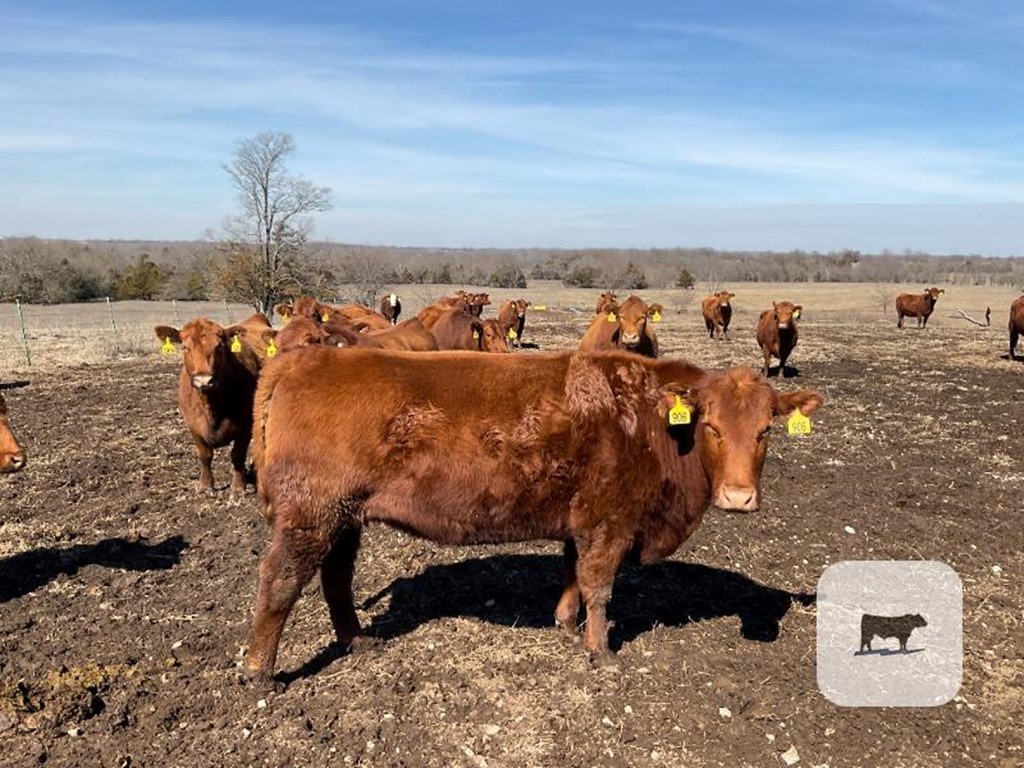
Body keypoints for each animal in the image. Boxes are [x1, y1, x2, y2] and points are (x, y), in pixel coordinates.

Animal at [152, 315, 272, 495]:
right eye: (185, 347)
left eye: (220, 346)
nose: (204, 380)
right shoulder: (193, 426)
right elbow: (205, 455)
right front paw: (205, 485)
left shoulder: (245, 426)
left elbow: (237, 455)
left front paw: (238, 487)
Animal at [241, 348, 823, 679]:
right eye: (711, 427)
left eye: (766, 429)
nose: (739, 497)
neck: (648, 420)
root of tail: (300, 359)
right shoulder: (609, 520)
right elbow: (599, 586)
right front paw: (600, 653)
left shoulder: (578, 518)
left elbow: (572, 574)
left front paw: (565, 625)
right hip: (310, 516)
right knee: (278, 582)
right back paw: (259, 672)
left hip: (344, 519)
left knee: (335, 578)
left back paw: (357, 641)